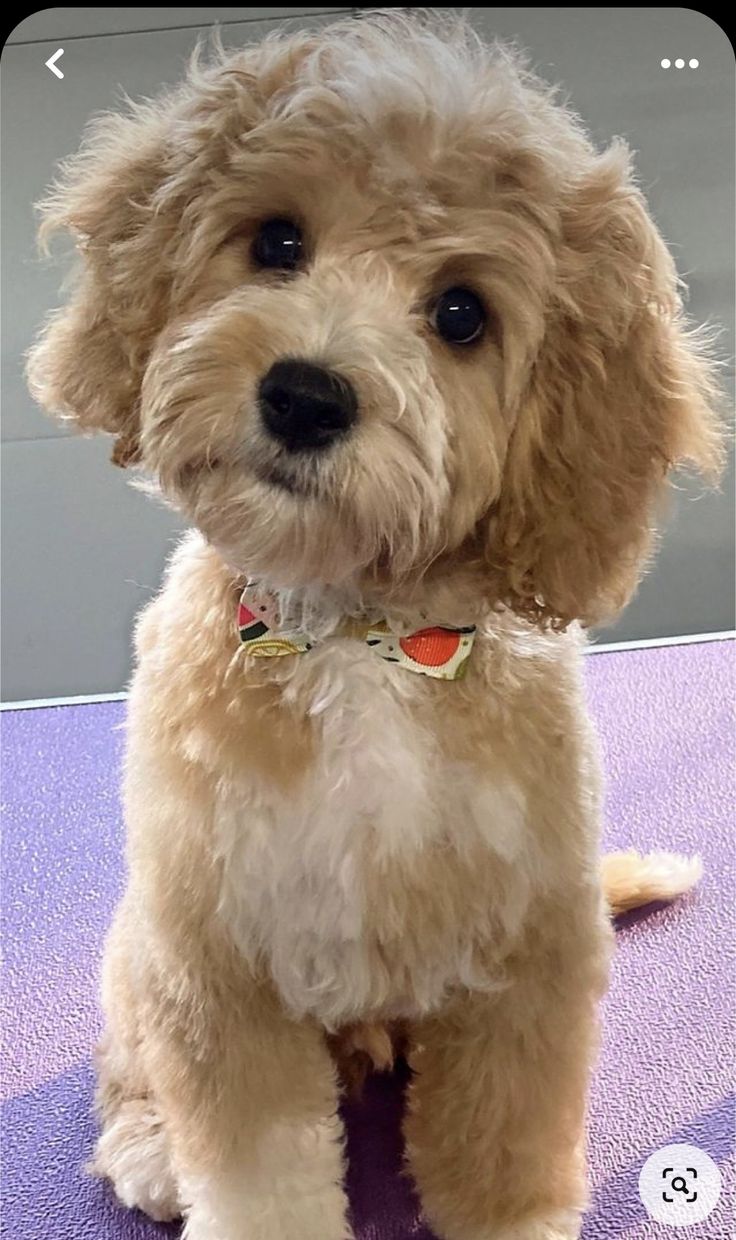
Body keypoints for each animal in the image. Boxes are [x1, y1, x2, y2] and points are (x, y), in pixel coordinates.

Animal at [25, 12, 718, 1240]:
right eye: (277, 240)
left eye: (460, 314)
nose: (304, 396)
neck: (360, 634)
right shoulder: (218, 964)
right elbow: (257, 1169)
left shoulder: (524, 960)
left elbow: (502, 1144)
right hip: (137, 951)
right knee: (132, 1071)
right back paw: (150, 1148)